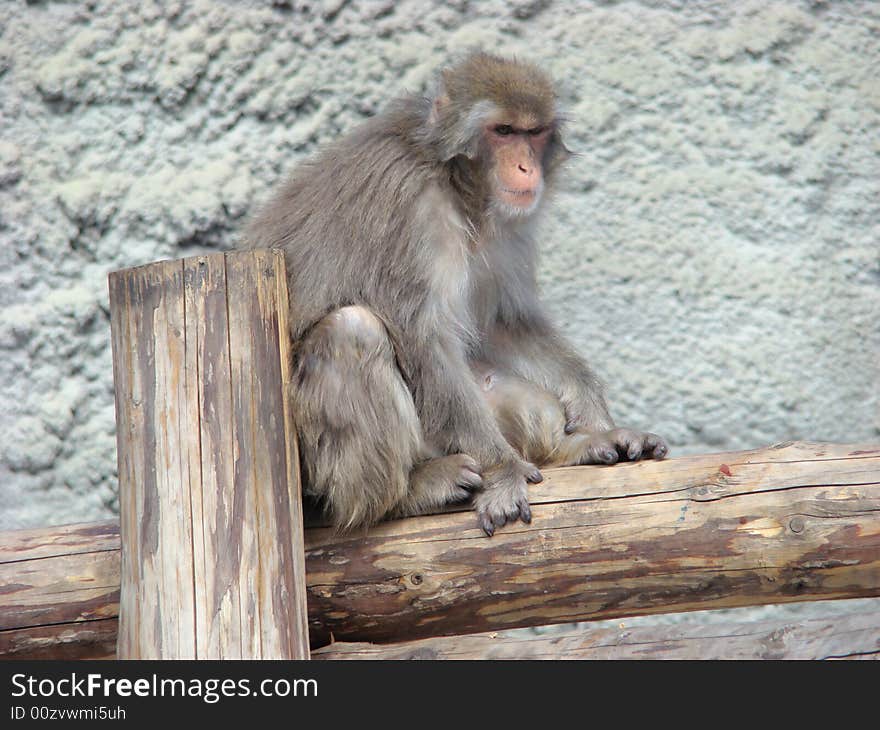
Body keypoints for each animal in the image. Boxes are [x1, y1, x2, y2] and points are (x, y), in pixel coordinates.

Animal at [241, 52, 668, 536]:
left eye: (533, 132)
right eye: (504, 131)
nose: (526, 168)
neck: (454, 183)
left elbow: (502, 323)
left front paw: (594, 417)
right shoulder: (409, 207)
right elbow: (423, 341)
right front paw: (503, 470)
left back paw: (570, 449)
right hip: (313, 473)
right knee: (352, 331)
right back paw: (402, 495)